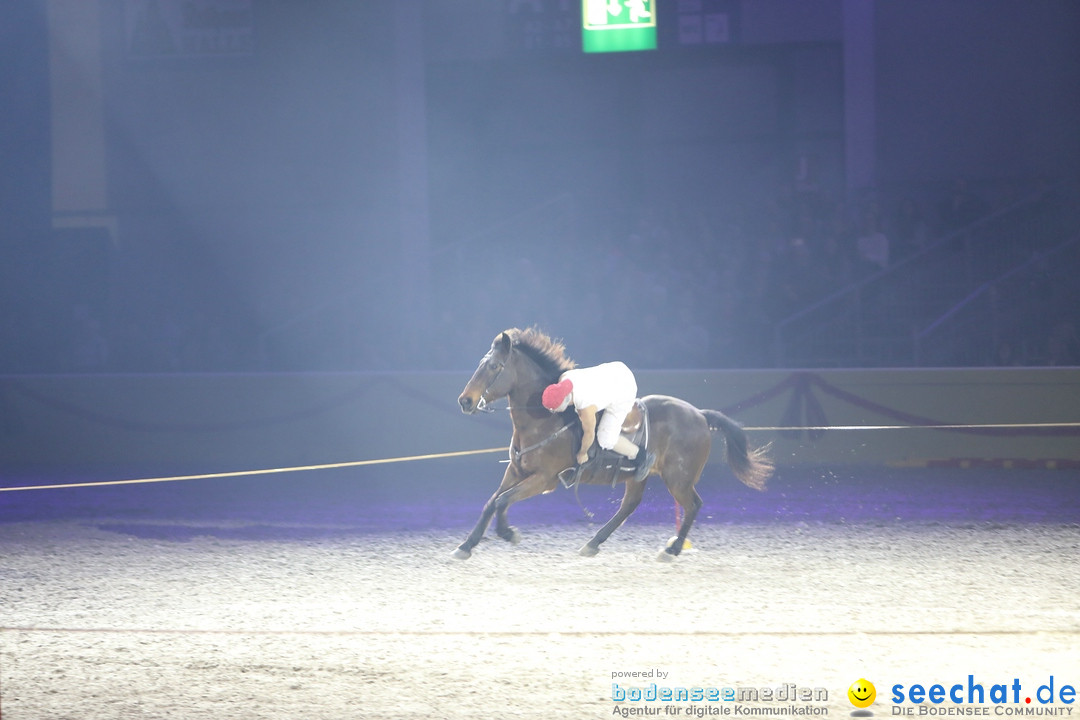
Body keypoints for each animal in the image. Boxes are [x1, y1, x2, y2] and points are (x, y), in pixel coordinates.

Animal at [451, 328, 773, 561]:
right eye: (481, 364)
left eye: (494, 366)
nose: (465, 401)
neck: (544, 419)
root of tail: (700, 415)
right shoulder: (516, 472)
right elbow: (492, 501)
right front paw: (467, 545)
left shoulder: (544, 478)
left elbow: (503, 500)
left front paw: (507, 533)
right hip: (640, 478)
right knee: (629, 506)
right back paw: (593, 543)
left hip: (678, 478)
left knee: (693, 505)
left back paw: (672, 550)